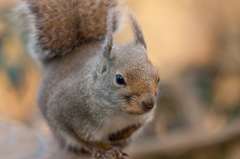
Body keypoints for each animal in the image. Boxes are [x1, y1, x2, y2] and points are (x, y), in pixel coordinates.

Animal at [15, 0, 160, 159]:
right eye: (119, 79)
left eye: (158, 78)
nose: (149, 104)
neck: (118, 112)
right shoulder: (66, 114)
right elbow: (84, 139)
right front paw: (103, 148)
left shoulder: (143, 117)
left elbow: (137, 125)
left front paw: (121, 134)